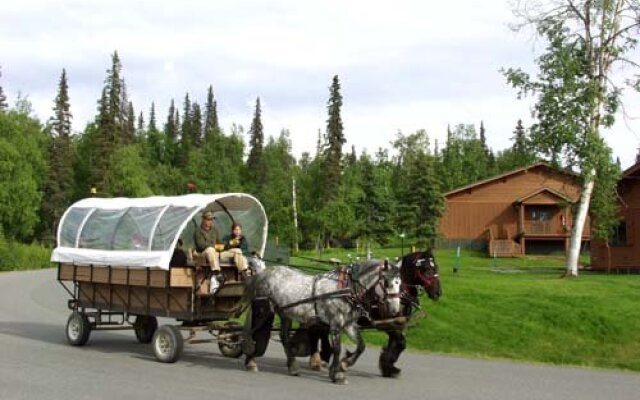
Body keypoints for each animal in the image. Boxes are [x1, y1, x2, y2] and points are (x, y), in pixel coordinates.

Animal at [244, 260, 400, 382]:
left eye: (400, 283)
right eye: (388, 283)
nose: (395, 310)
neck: (345, 289)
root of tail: (263, 273)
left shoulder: (348, 324)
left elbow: (361, 346)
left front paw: (344, 364)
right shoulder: (335, 323)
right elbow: (337, 349)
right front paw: (337, 375)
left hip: (284, 314)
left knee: (284, 337)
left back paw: (292, 367)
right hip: (263, 311)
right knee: (253, 332)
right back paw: (250, 362)